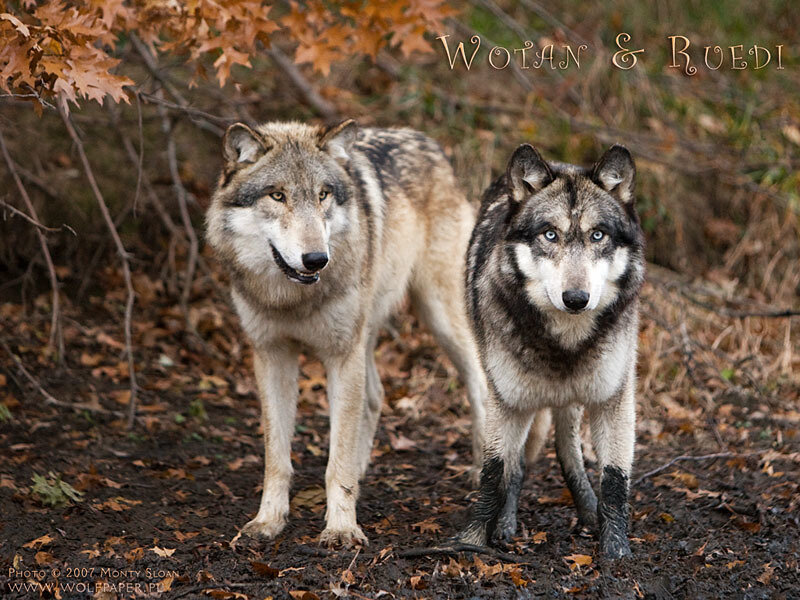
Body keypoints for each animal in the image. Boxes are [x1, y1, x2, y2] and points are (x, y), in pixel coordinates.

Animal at [206, 120, 487, 546]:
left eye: (323, 194)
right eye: (277, 195)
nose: (316, 259)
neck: (293, 299)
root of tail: (430, 143)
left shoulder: (341, 355)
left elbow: (334, 461)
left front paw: (341, 528)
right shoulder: (272, 355)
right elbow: (277, 457)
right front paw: (268, 520)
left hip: (441, 320)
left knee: (480, 386)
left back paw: (485, 468)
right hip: (366, 334)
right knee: (375, 396)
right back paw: (362, 470)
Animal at [457, 143, 645, 558]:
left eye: (597, 235)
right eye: (550, 234)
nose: (576, 298)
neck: (564, 343)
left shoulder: (614, 400)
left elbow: (614, 480)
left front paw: (616, 549)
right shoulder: (506, 400)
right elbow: (494, 473)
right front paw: (470, 540)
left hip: (571, 401)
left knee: (567, 450)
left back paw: (589, 510)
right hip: (521, 398)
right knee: (518, 464)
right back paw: (506, 523)